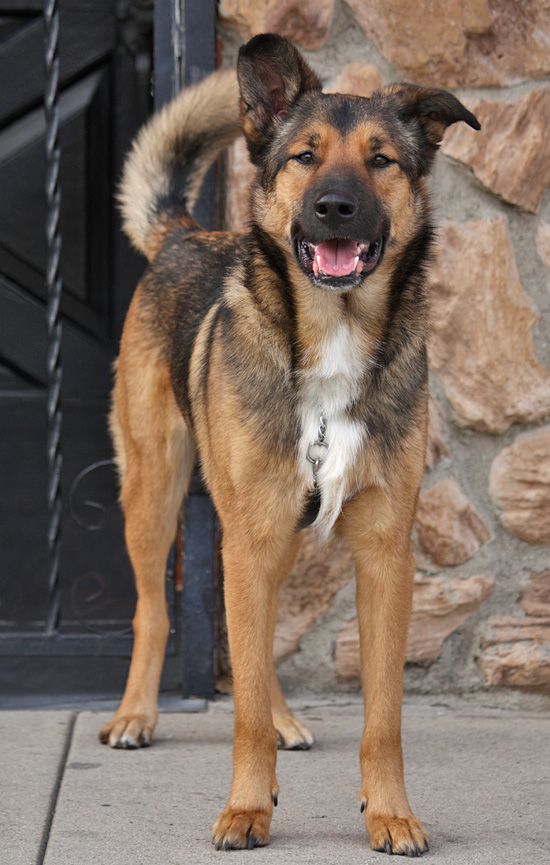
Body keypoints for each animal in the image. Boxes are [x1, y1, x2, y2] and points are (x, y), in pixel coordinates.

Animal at [101, 32, 480, 852]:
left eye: (381, 160)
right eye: (305, 156)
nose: (335, 207)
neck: (334, 337)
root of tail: (186, 234)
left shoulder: (384, 553)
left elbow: (382, 716)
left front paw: (391, 811)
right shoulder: (250, 534)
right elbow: (238, 702)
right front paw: (247, 807)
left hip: (270, 531)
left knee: (259, 637)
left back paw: (280, 717)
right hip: (157, 494)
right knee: (156, 610)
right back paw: (136, 715)